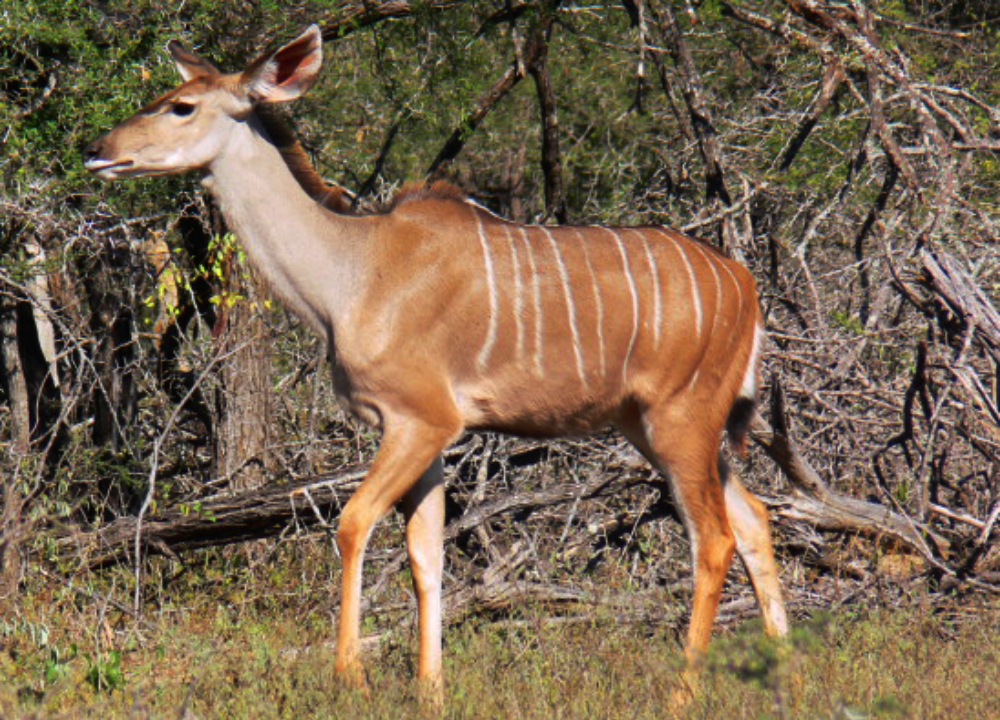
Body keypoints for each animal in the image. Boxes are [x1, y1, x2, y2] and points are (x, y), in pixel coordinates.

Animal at [84, 26, 788, 699]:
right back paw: (790, 676)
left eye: (181, 105)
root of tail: (744, 287)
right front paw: (430, 689)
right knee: (754, 519)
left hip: (680, 422)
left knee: (714, 537)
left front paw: (351, 675)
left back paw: (684, 692)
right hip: (663, 428)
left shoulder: (421, 420)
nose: (98, 150)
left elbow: (352, 523)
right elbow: (427, 555)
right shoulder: (429, 437)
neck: (352, 271)